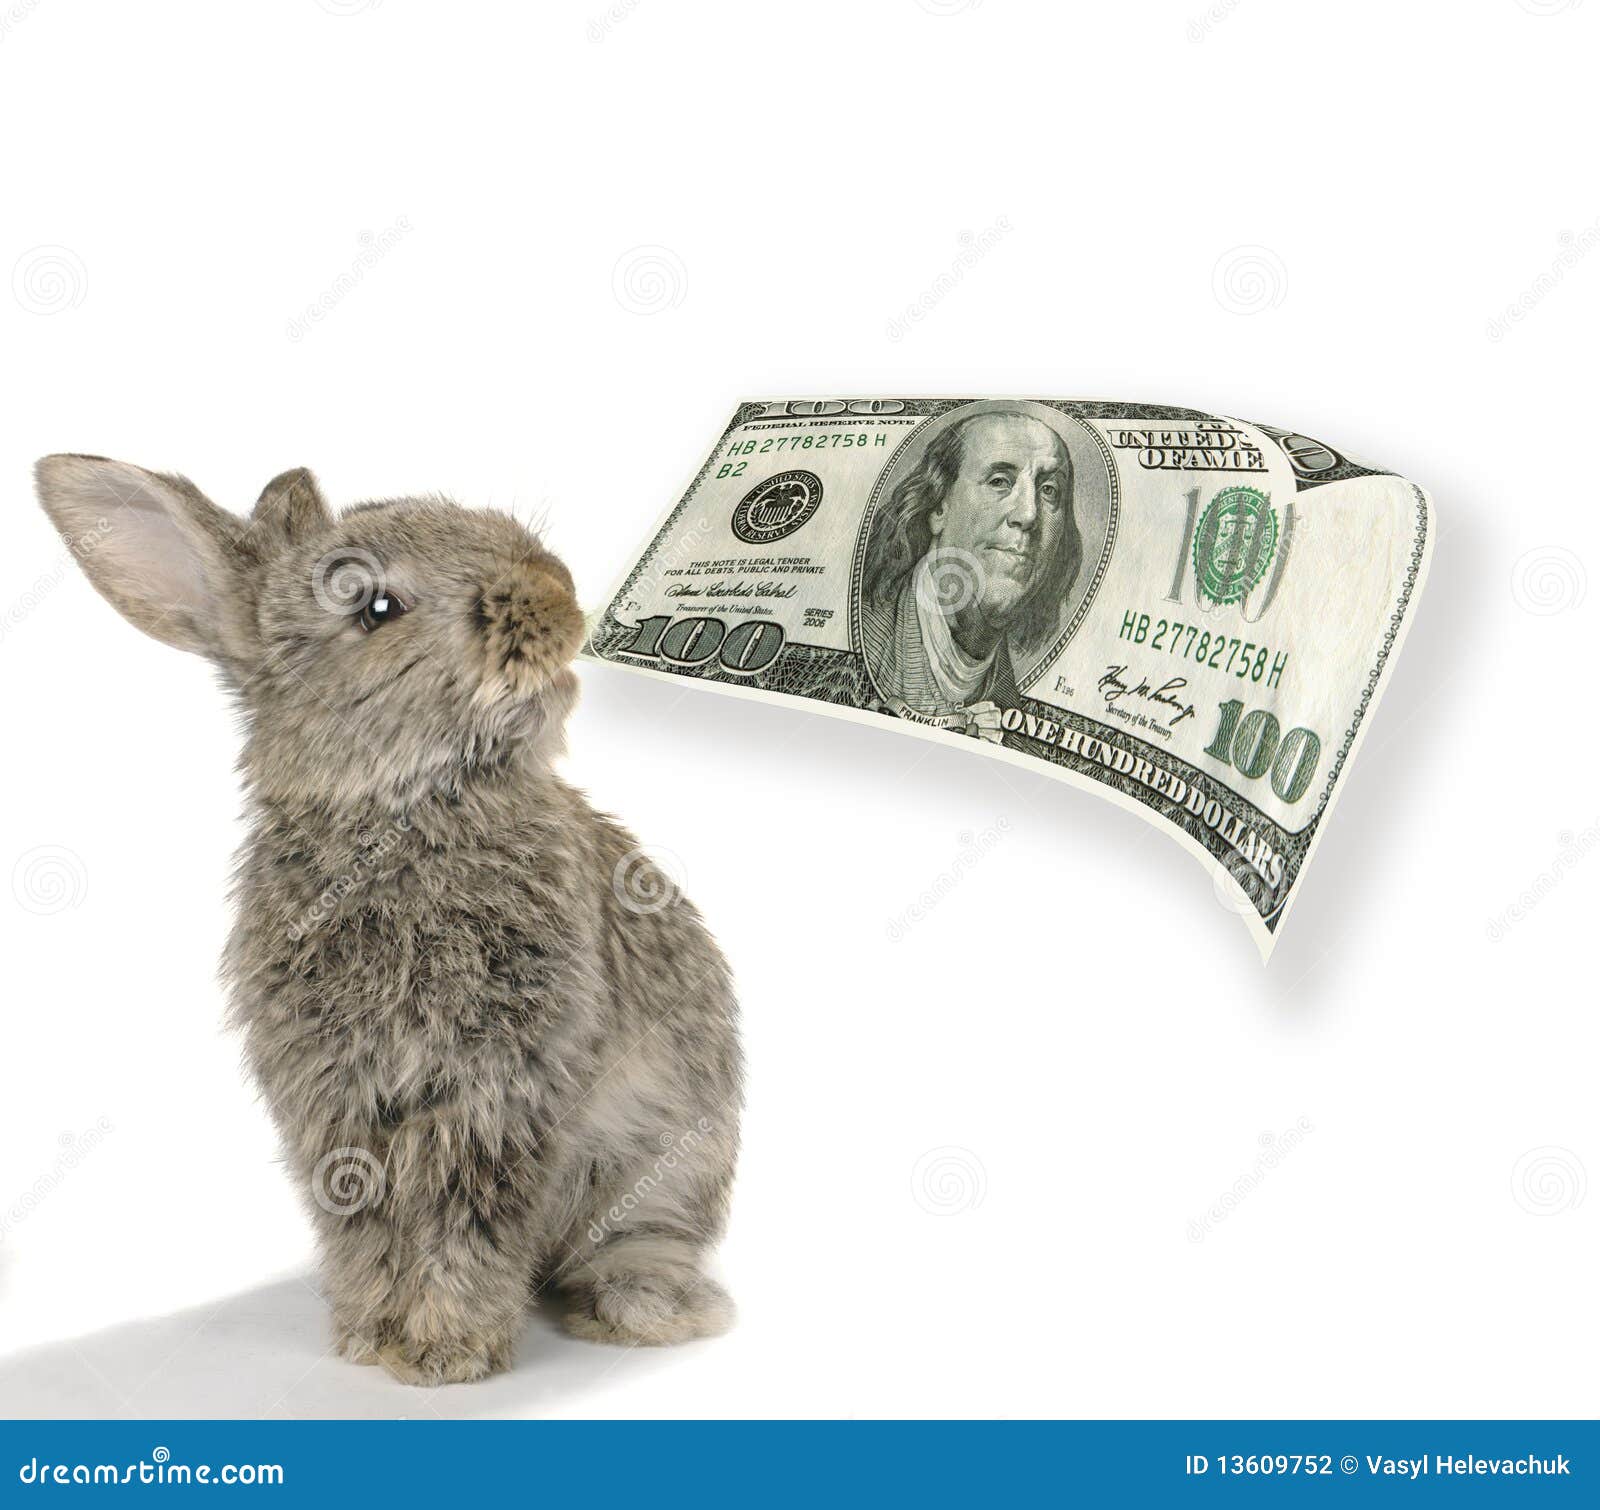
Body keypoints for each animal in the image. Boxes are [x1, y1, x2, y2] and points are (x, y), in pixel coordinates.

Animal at [34, 455, 742, 1386]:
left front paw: (445, 1353)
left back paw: (640, 1305)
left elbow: (466, 1223)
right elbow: (370, 1228)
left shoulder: (498, 1094)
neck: (400, 816)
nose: (555, 594)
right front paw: (376, 1340)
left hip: (668, 1161)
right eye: (374, 607)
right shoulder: (338, 1105)